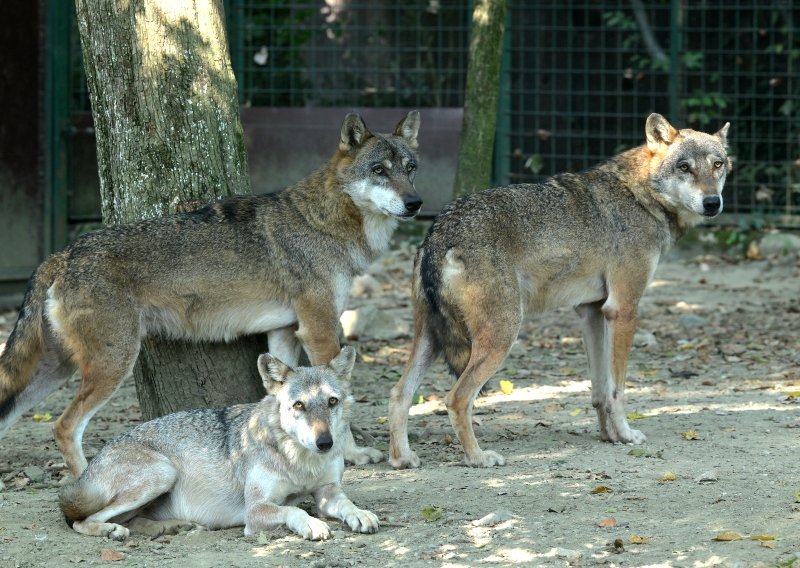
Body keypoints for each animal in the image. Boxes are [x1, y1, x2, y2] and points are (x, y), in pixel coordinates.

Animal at [0, 111, 422, 474]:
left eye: (410, 169)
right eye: (379, 171)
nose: (415, 203)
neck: (324, 221)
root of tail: (62, 254)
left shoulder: (285, 332)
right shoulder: (318, 330)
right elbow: (339, 400)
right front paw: (352, 454)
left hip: (55, 371)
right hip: (110, 364)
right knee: (64, 426)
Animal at [59, 346, 378, 540]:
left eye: (332, 402)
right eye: (299, 405)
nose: (325, 443)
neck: (300, 461)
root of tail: (90, 467)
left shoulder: (327, 492)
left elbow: (346, 503)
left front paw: (361, 514)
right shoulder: (255, 510)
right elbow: (295, 510)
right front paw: (312, 523)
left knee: (132, 521)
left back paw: (171, 526)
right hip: (161, 474)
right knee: (79, 521)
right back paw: (111, 530)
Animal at [388, 113, 732, 468]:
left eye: (718, 165)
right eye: (684, 167)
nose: (712, 202)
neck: (641, 197)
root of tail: (438, 233)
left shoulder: (592, 311)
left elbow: (599, 389)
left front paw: (608, 436)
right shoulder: (623, 309)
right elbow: (617, 389)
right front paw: (626, 435)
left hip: (431, 338)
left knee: (399, 393)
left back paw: (403, 459)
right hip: (500, 335)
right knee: (456, 398)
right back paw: (478, 458)